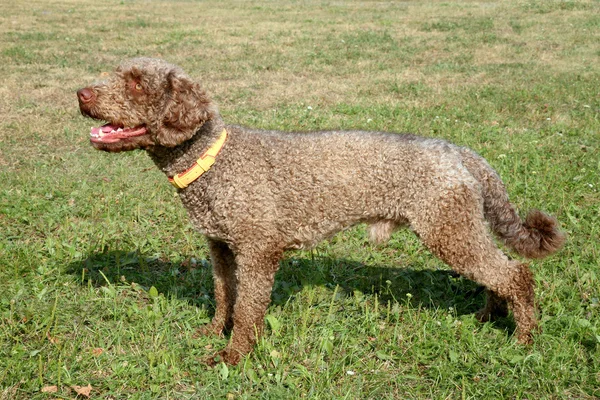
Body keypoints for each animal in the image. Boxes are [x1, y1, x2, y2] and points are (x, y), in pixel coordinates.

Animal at [77, 57, 564, 366]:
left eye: (137, 83)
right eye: (116, 73)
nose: (81, 93)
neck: (215, 162)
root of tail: (461, 152)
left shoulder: (258, 252)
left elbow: (248, 310)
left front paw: (234, 357)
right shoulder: (220, 246)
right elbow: (223, 296)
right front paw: (214, 333)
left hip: (447, 229)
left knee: (516, 273)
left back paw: (524, 338)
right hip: (459, 228)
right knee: (501, 270)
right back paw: (488, 316)